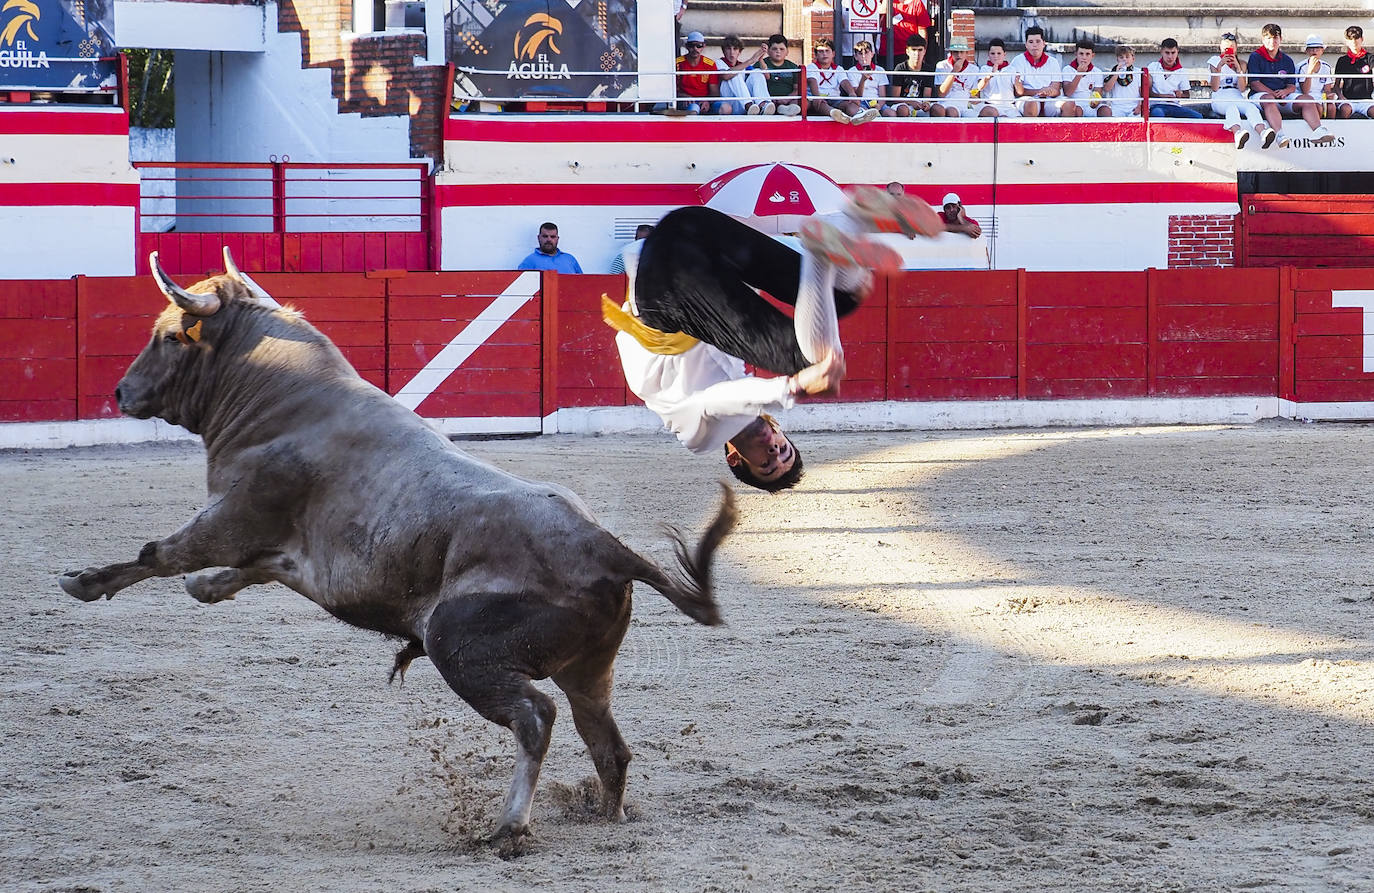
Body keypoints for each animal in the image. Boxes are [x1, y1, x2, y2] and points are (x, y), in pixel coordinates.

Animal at [61, 248, 741, 840]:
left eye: (173, 336)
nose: (121, 393)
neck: (284, 400)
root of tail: (604, 544)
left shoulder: (231, 515)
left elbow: (159, 553)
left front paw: (86, 582)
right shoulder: (282, 550)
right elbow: (236, 572)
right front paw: (202, 586)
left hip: (459, 646)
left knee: (535, 717)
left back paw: (509, 826)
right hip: (590, 670)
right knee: (606, 741)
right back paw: (606, 816)